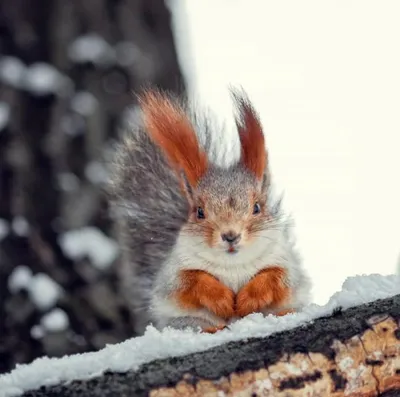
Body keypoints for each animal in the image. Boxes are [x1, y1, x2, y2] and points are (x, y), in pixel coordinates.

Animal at [108, 88, 312, 332]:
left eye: (257, 207)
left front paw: (248, 299)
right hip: (185, 323)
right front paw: (222, 300)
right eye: (199, 212)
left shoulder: (286, 264)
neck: (233, 265)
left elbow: (276, 278)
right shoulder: (174, 274)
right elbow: (190, 282)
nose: (230, 235)